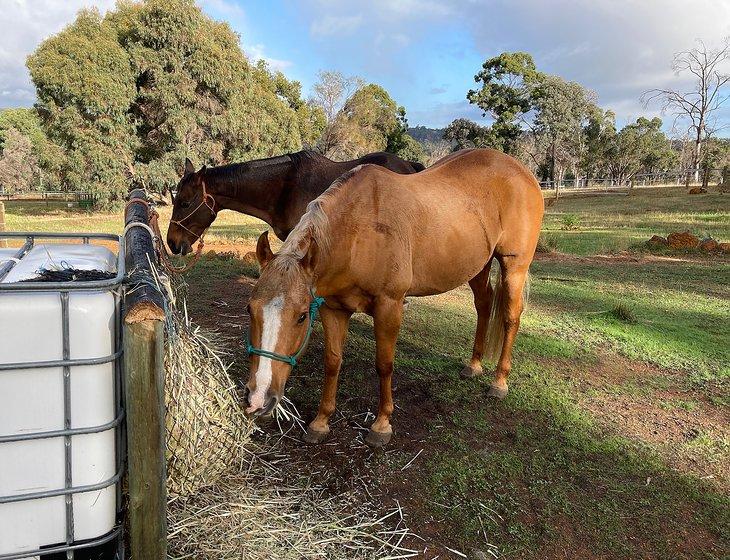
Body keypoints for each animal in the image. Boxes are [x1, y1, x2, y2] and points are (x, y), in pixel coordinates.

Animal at [246, 148, 544, 446]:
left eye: (301, 317)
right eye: (250, 309)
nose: (258, 399)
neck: (358, 232)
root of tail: (523, 173)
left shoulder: (389, 306)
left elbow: (384, 365)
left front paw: (381, 425)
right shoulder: (333, 308)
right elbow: (332, 362)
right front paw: (321, 422)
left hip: (514, 265)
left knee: (510, 317)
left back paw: (499, 382)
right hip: (477, 267)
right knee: (484, 305)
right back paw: (474, 365)